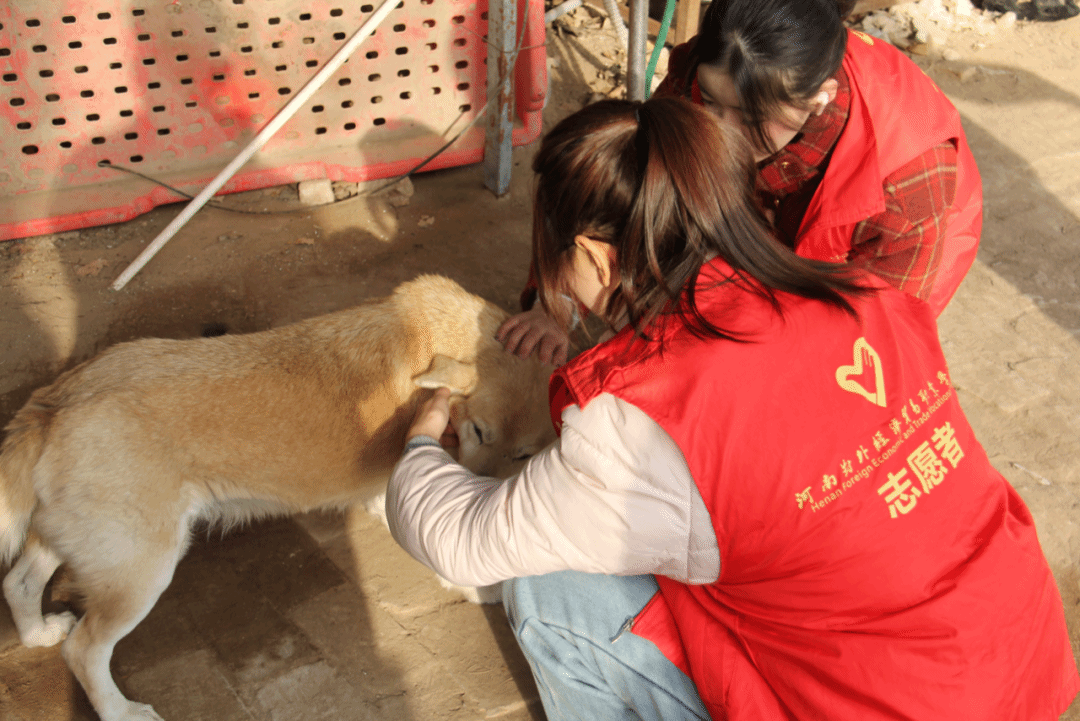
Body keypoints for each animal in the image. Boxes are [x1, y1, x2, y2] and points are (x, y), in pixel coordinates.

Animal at [0, 274, 556, 721]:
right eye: (479, 431)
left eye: (522, 456)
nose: (476, 493)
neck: (432, 338)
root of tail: (52, 404)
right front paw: (478, 584)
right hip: (141, 572)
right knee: (83, 651)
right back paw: (121, 712)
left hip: (74, 540)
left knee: (18, 584)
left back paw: (37, 634)